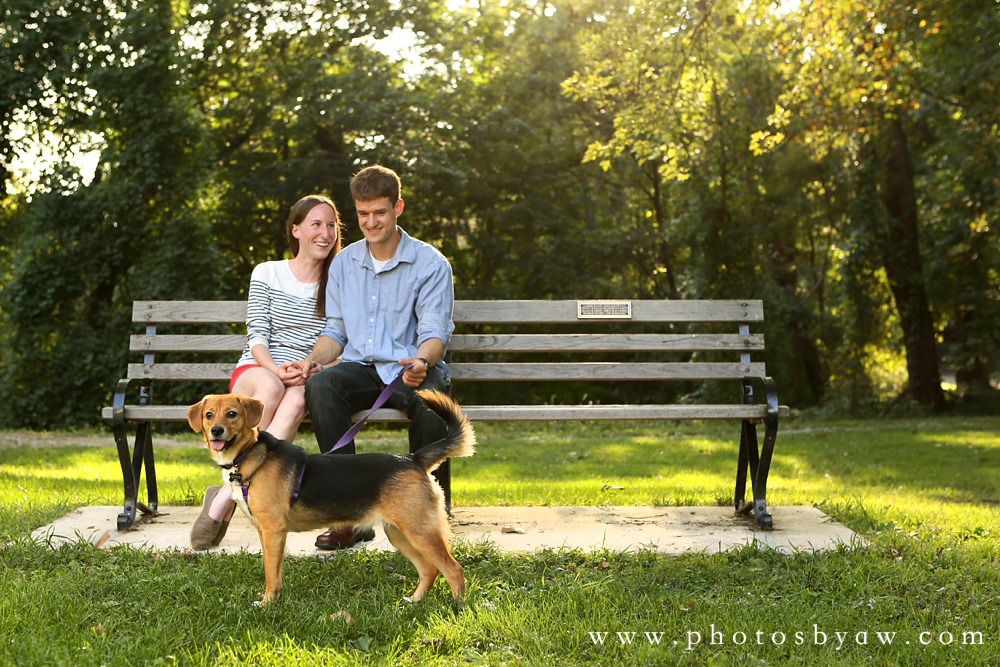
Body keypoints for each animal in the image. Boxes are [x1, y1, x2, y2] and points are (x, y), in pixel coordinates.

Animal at [187, 392, 476, 604]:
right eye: (209, 415)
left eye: (232, 414)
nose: (216, 430)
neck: (247, 457)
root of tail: (414, 458)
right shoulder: (266, 533)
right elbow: (274, 570)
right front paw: (273, 598)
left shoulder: (273, 530)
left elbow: (270, 570)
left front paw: (268, 603)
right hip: (400, 534)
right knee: (429, 570)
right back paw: (414, 602)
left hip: (420, 531)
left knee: (453, 569)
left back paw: (457, 607)